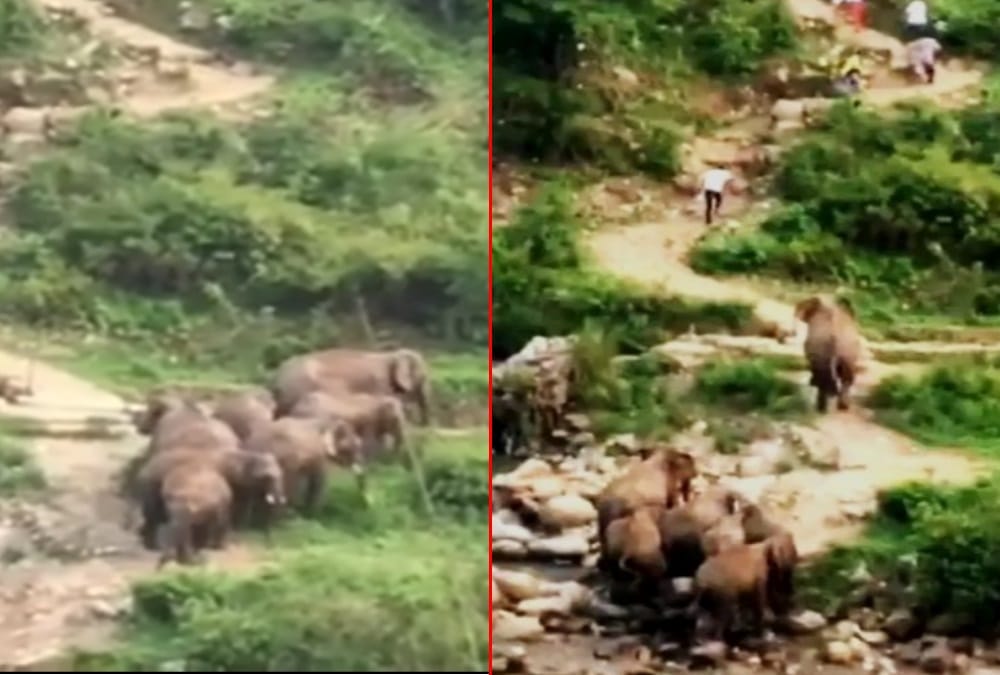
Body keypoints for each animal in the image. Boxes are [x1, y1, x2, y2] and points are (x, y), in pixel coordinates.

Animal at [133, 446, 286, 549]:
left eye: (280, 474)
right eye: (267, 477)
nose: (271, 544)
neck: (245, 455)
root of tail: (145, 467)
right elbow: (227, 511)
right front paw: (222, 545)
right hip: (151, 485)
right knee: (153, 515)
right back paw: (153, 546)